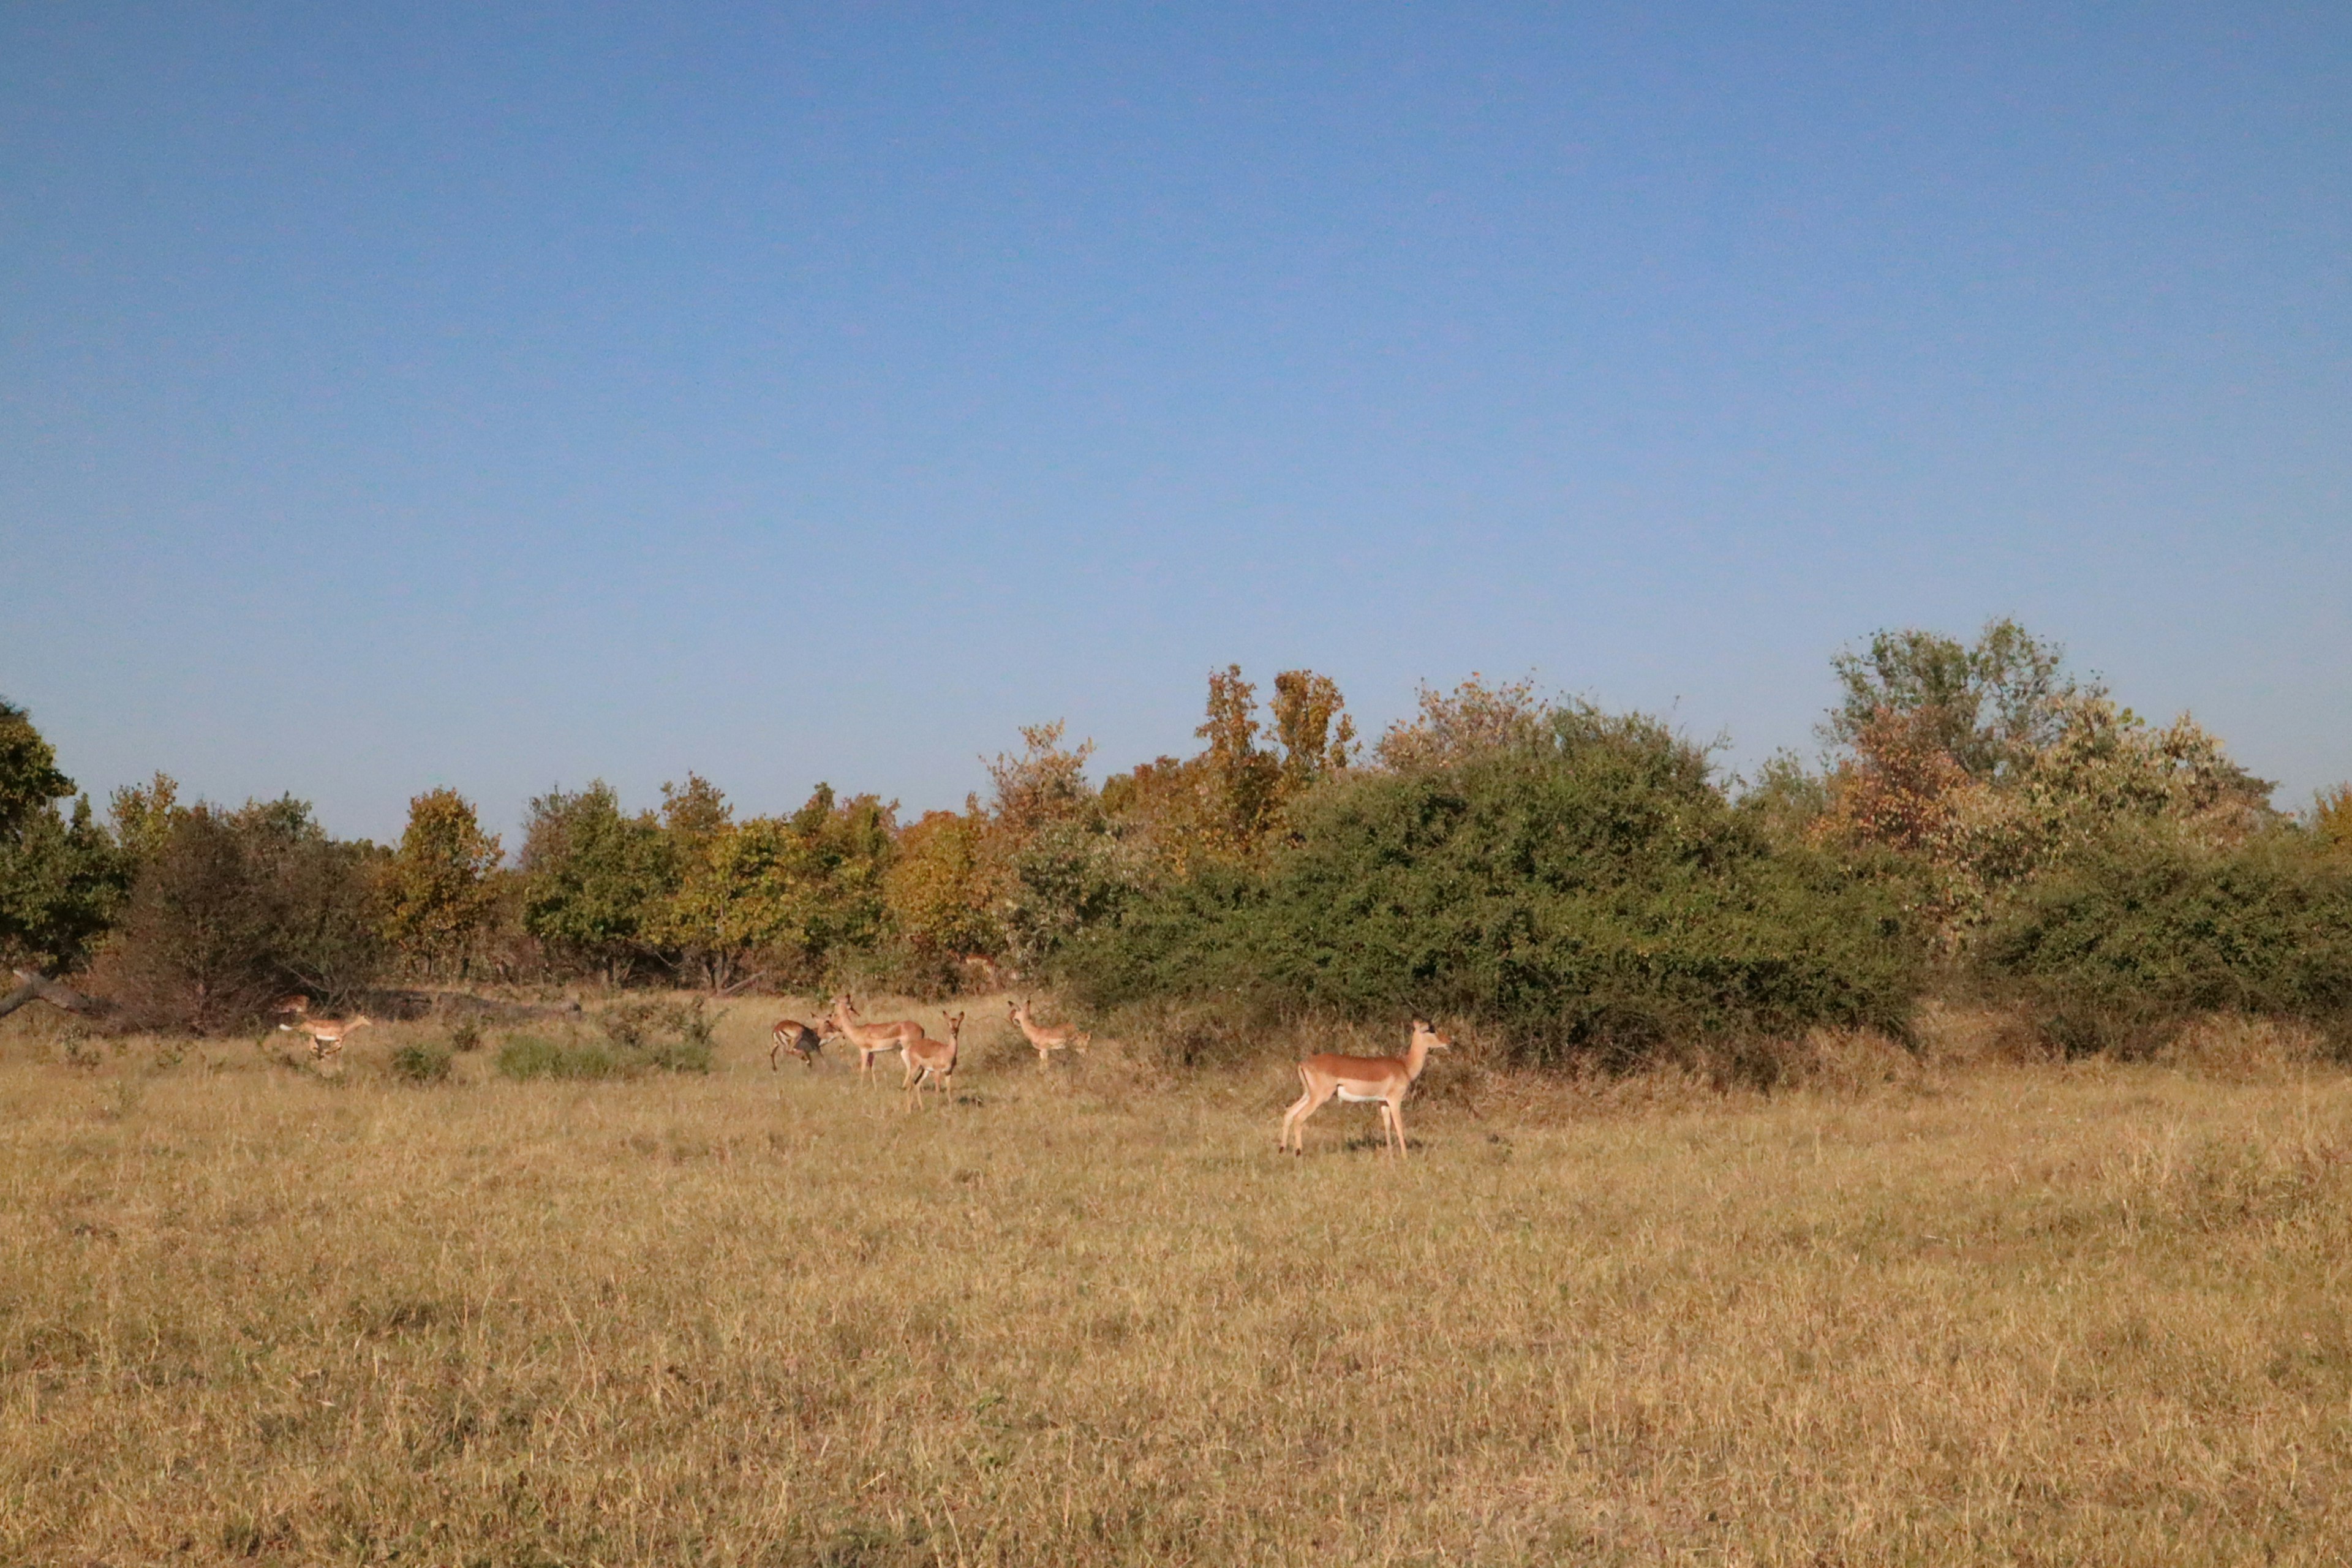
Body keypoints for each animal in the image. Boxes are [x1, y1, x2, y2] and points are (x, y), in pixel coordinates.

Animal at [832, 992, 922, 1081]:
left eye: (838, 1001)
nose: (833, 1022)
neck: (857, 1030)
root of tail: (921, 1029)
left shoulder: (864, 1050)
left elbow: (863, 1070)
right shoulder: (872, 1053)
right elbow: (872, 1071)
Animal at [903, 1020, 969, 1104]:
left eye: (959, 1024)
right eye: (949, 1024)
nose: (953, 1032)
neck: (947, 1051)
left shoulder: (948, 1072)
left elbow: (948, 1089)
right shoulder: (937, 1072)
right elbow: (938, 1090)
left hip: (926, 1071)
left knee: (917, 1083)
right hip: (916, 1068)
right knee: (911, 1084)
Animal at [1006, 1001, 1087, 1072]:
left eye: (1014, 1010)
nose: (1010, 1018)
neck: (1035, 1032)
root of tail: (1075, 1027)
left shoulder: (1044, 1050)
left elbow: (1045, 1065)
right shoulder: (1040, 1051)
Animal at [1289, 1025, 1449, 1161]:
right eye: (1431, 1029)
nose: (1448, 1041)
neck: (1405, 1066)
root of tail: (1303, 1063)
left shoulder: (1383, 1102)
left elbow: (1387, 1124)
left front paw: (1390, 1154)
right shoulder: (1395, 1100)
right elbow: (1399, 1125)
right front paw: (1405, 1156)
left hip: (1308, 1095)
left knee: (1289, 1112)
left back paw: (1284, 1149)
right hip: (1319, 1097)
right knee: (1298, 1117)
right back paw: (1298, 1153)